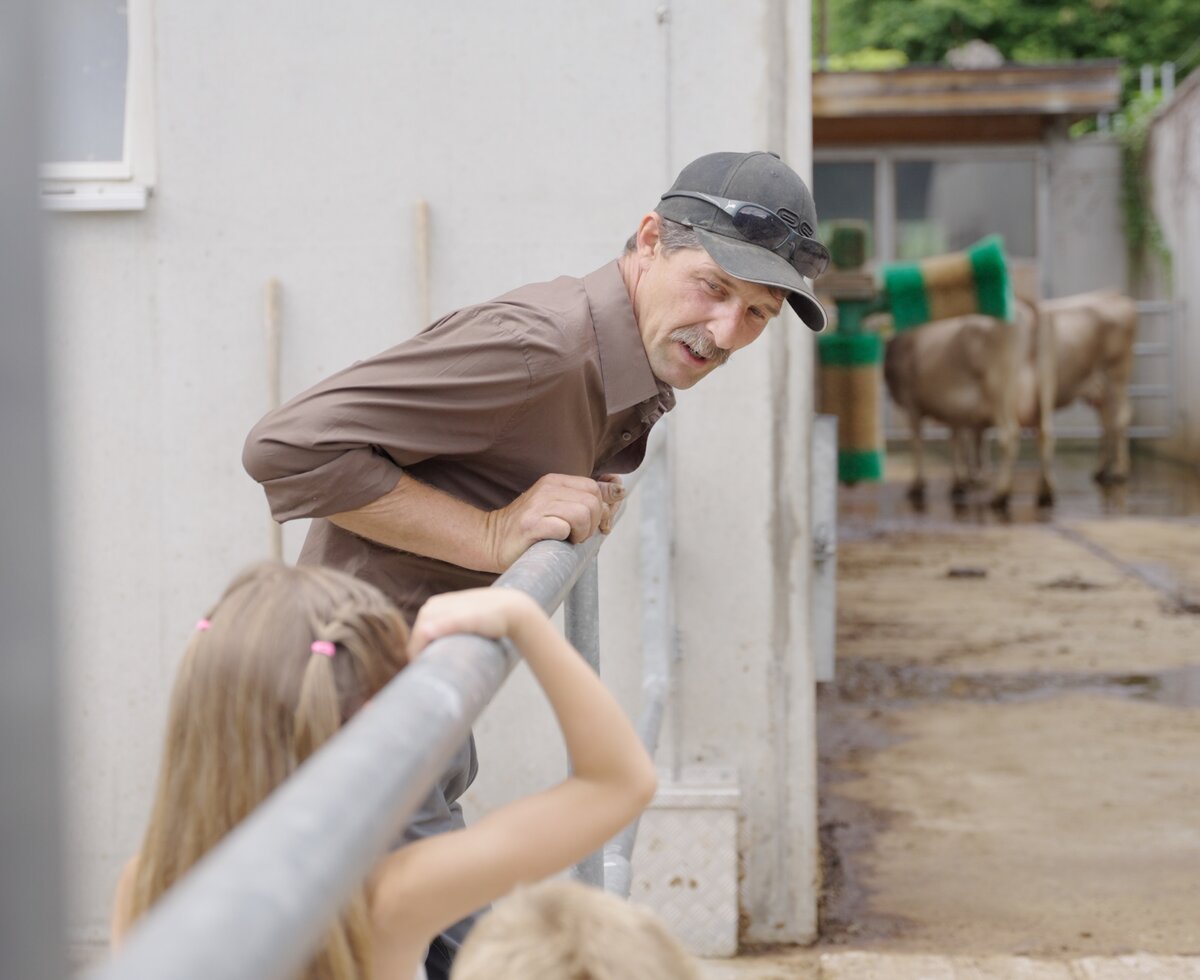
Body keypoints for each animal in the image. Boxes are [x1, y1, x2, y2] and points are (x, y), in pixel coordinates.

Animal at [888, 289, 1137, 508]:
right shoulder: (956, 411)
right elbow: (962, 439)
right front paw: (964, 481)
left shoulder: (912, 403)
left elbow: (920, 442)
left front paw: (922, 485)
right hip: (1060, 388)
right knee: (1060, 431)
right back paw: (1056, 488)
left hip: (1105, 377)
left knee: (1116, 420)